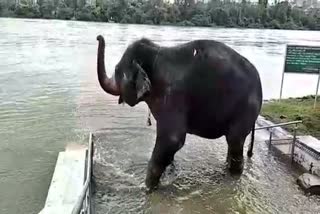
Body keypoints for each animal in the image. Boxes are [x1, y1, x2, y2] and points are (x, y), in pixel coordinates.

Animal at [95, 35, 262, 191]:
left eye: (116, 70)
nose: (98, 37)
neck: (155, 52)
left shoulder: (173, 97)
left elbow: (172, 139)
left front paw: (148, 188)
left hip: (245, 109)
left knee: (235, 142)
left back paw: (231, 178)